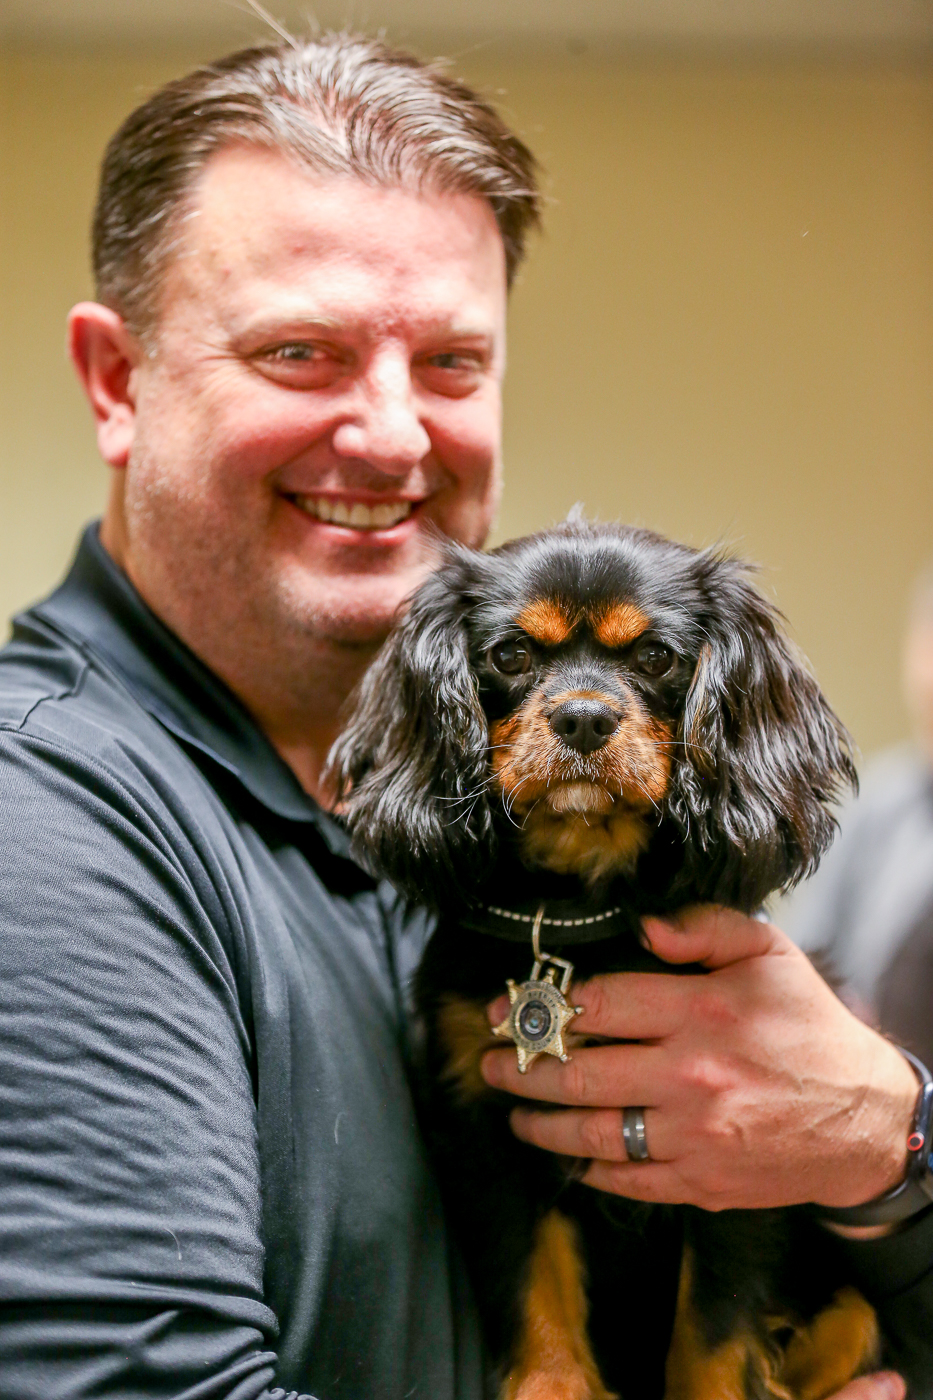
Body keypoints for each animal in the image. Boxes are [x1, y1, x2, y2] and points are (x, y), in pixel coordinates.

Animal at [330, 515, 876, 1400]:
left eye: (654, 656)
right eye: (510, 654)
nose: (583, 719)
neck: (571, 912)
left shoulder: (743, 1149)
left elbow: (713, 1325)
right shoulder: (486, 1124)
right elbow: (533, 1283)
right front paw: (551, 1384)